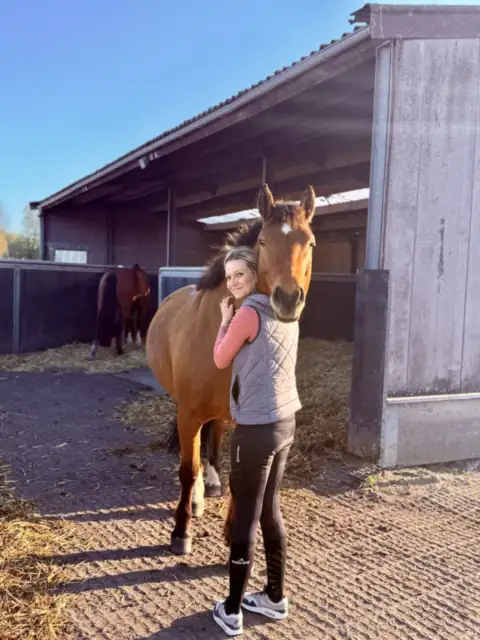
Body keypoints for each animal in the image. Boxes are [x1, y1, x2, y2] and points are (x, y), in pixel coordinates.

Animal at [146, 184, 316, 555]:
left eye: (310, 242)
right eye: (264, 241)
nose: (288, 299)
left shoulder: (245, 420)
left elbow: (239, 475)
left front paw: (231, 530)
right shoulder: (189, 414)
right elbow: (187, 469)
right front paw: (181, 532)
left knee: (214, 438)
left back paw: (211, 484)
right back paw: (197, 499)